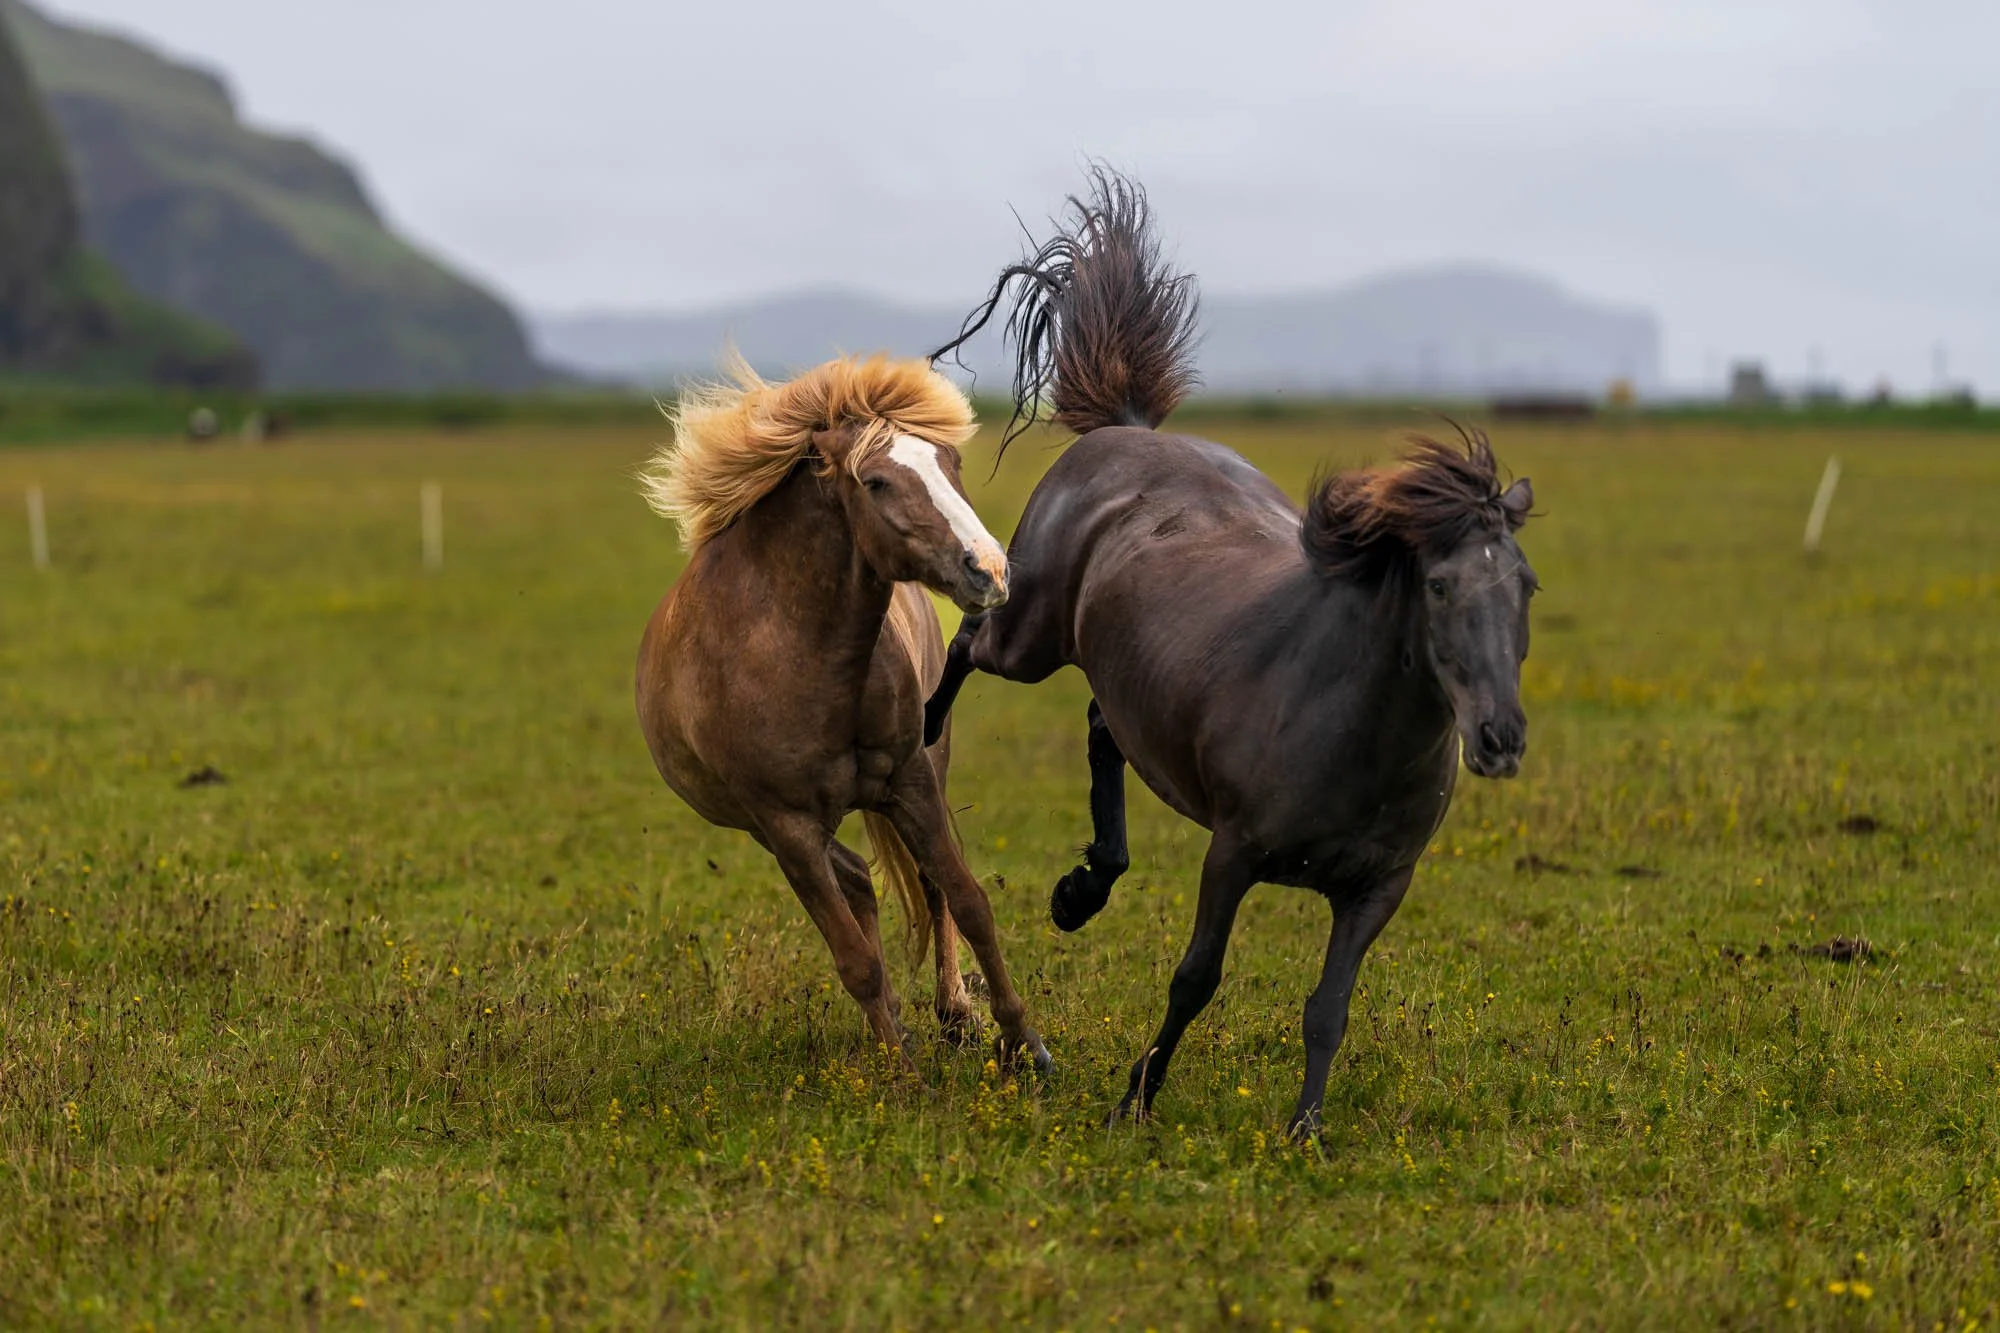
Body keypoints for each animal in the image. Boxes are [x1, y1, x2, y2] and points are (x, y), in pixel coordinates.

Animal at [634, 352, 1052, 1074]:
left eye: (950, 461)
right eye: (876, 481)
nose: (990, 570)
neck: (800, 650)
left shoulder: (910, 781)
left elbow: (967, 900)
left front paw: (1022, 1043)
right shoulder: (788, 827)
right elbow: (855, 959)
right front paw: (904, 1074)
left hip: (923, 771)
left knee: (920, 885)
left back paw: (952, 1015)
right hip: (772, 828)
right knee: (857, 884)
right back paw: (898, 1032)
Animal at [925, 170, 1535, 1136]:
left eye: (1527, 588)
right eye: (1440, 586)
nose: (1500, 738)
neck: (1349, 732)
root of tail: (1127, 427)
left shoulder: (1377, 889)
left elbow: (1329, 1009)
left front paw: (1305, 1130)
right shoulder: (1234, 853)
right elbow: (1195, 978)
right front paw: (1134, 1099)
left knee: (1102, 728)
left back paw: (1081, 891)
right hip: (1032, 636)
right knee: (969, 641)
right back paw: (923, 731)